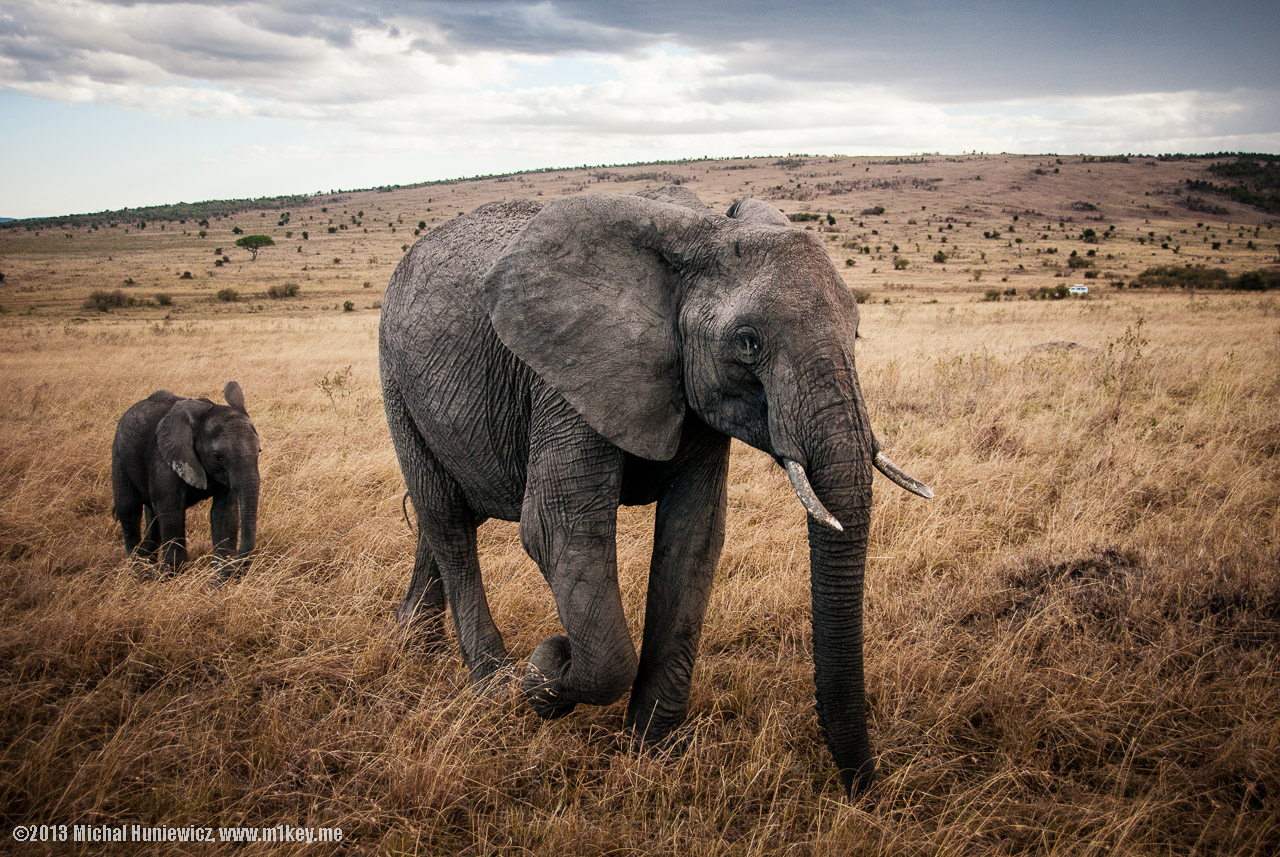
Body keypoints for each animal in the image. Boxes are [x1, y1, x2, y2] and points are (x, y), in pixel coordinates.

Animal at [115, 383, 262, 578]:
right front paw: (172, 575)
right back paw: (138, 570)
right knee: (128, 510)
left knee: (151, 514)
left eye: (259, 451)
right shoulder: (163, 460)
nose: (240, 569)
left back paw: (148, 563)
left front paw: (222, 577)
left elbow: (224, 512)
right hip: (119, 457)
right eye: (218, 456)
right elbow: (171, 512)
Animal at [378, 184, 931, 798]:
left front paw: (654, 752)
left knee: (442, 522)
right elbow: (557, 533)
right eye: (748, 342)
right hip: (395, 379)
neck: (702, 231)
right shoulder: (568, 375)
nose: (865, 788)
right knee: (446, 519)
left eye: (856, 333)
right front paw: (546, 672)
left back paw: (412, 643)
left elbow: (694, 535)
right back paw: (494, 686)